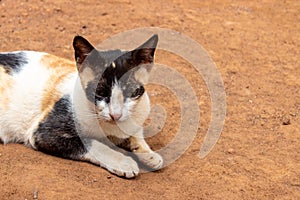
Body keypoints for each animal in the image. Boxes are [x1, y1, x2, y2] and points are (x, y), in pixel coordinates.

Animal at [0, 34, 163, 178]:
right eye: (99, 92)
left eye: (131, 91)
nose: (115, 115)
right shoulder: (44, 132)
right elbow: (93, 144)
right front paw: (123, 162)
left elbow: (135, 134)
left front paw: (150, 155)